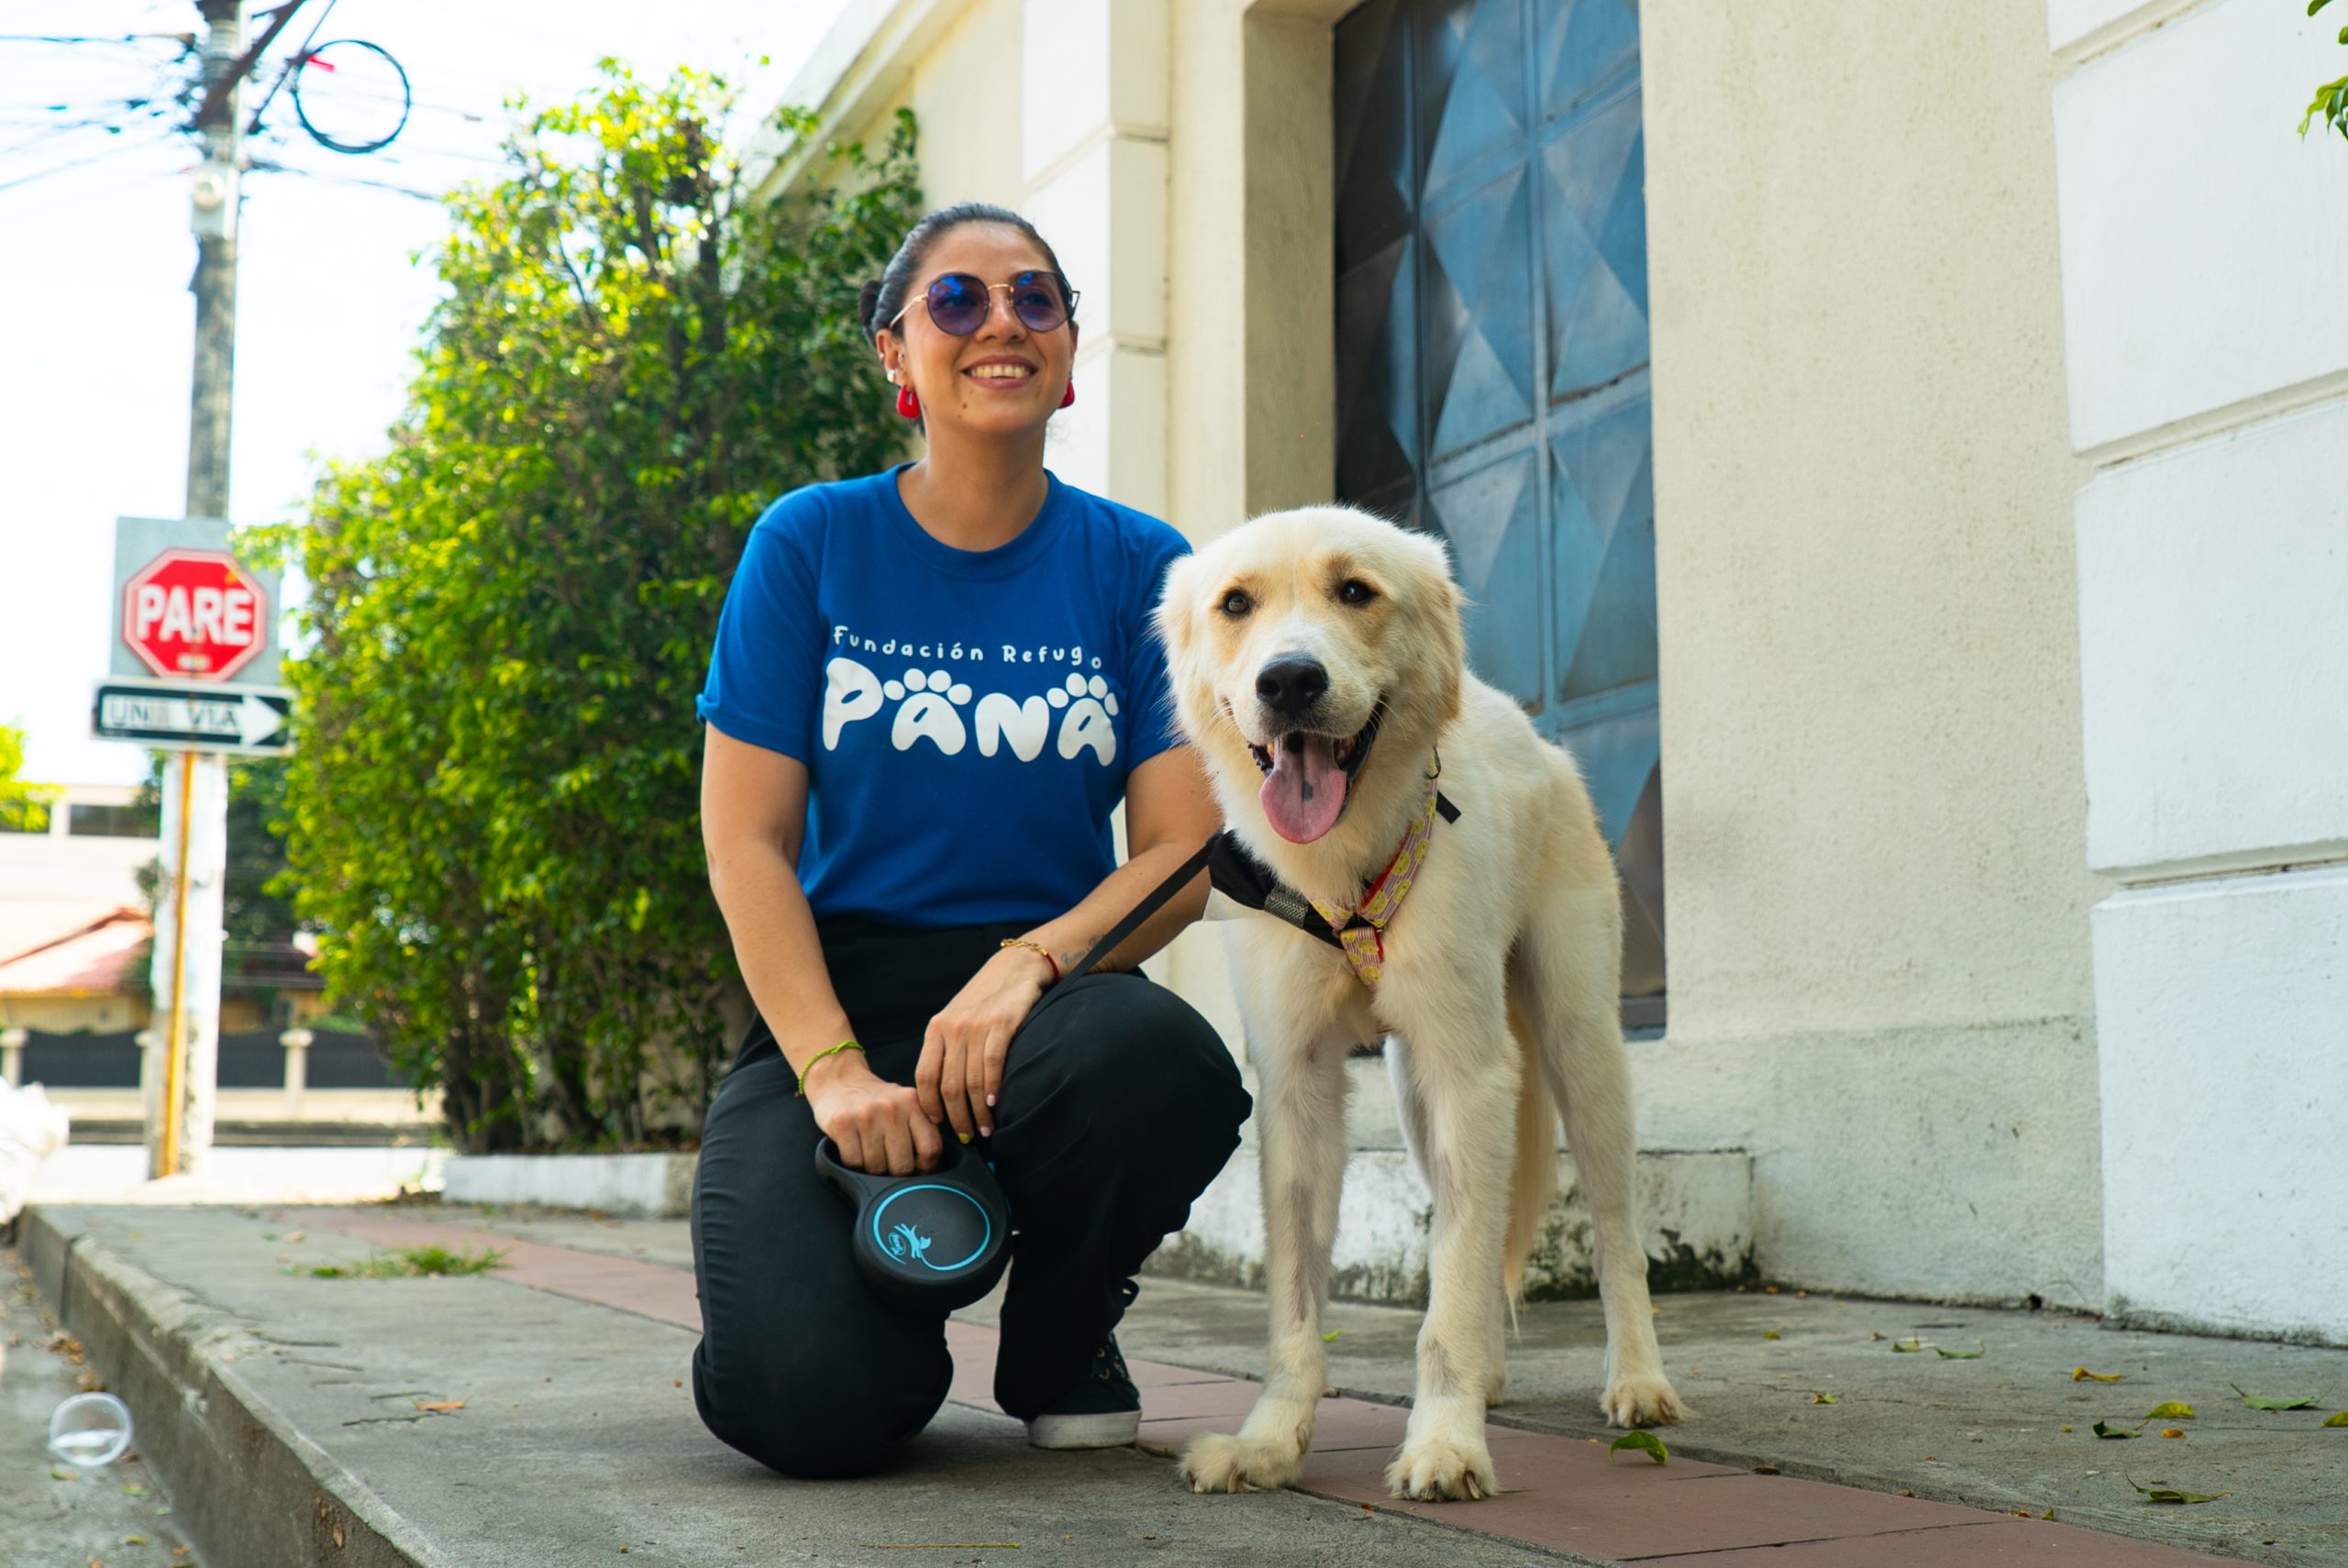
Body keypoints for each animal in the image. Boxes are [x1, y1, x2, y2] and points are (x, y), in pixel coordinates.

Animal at [1159, 509, 1690, 1502]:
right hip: (1413, 1099)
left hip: (1579, 1047)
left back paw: (1638, 1379)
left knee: (1611, 1235)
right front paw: (1269, 1442)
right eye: (1236, 604)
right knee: (1467, 1225)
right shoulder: (1297, 1087)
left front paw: (1446, 1443)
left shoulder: (1471, 1074)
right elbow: (1301, 1298)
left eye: (1355, 592)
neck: (1343, 870)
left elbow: (1452, 1291)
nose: (1289, 680)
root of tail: (1532, 734)